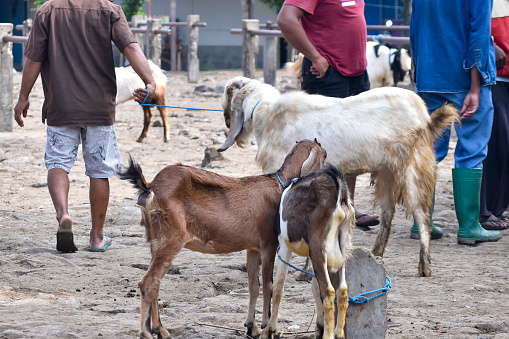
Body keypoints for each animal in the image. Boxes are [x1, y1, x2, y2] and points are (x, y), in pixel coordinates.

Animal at [118, 139, 326, 339]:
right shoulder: (268, 243)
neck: (279, 185)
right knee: (148, 283)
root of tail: (150, 187)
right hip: (170, 241)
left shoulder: (253, 248)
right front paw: (266, 327)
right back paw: (147, 332)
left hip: (156, 243)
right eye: (324, 155)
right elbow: (268, 285)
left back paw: (160, 330)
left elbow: (253, 286)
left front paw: (251, 327)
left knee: (156, 284)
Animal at [217, 77, 456, 278]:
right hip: (387, 172)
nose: (227, 123)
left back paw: (424, 266)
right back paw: (375, 254)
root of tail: (425, 117)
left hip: (411, 169)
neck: (266, 113)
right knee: (388, 212)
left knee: (421, 214)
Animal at [262, 165, 354, 339]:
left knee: (329, 292)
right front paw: (319, 327)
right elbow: (315, 288)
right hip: (343, 248)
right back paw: (338, 334)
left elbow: (278, 287)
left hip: (319, 249)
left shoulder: (284, 246)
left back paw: (328, 336)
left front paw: (270, 330)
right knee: (342, 291)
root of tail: (339, 191)